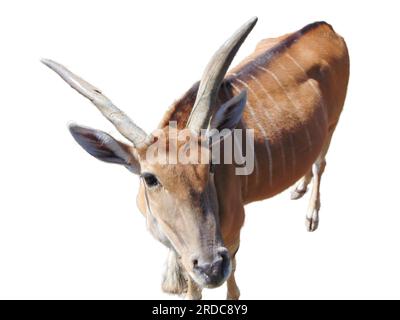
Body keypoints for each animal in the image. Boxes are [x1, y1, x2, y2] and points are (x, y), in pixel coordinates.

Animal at [41, 16, 346, 300]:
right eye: (149, 178)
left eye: (211, 165)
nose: (211, 267)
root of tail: (325, 27)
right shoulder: (182, 252)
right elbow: (190, 284)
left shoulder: (232, 237)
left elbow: (230, 284)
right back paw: (298, 187)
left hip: (332, 124)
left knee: (320, 164)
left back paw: (311, 215)